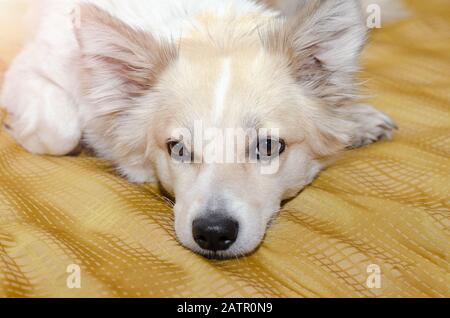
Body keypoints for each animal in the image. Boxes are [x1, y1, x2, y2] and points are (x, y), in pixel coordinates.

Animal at [0, 0, 400, 258]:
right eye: (177, 148)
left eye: (268, 146)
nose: (212, 233)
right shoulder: (23, 71)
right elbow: (61, 130)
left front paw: (358, 118)